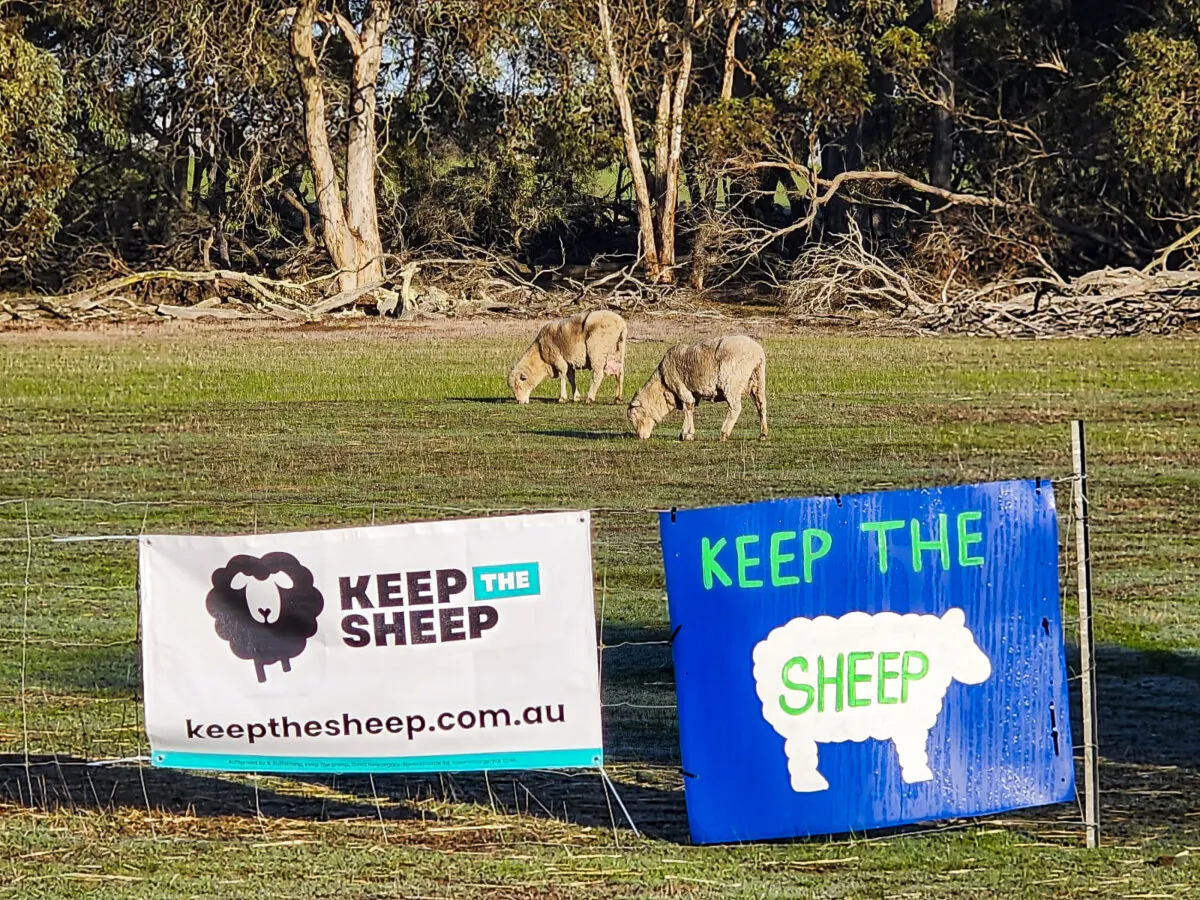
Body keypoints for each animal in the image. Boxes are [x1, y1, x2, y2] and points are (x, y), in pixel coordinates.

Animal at [626, 335, 767, 441]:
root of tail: (757, 353)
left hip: (731, 382)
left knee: (735, 408)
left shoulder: (682, 389)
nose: (641, 437)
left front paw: (687, 434)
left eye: (634, 415)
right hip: (758, 380)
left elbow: (688, 407)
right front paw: (684, 433)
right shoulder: (692, 393)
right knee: (761, 405)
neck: (662, 387)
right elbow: (690, 408)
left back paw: (724, 433)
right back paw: (763, 434)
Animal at [751, 608, 992, 792]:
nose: (986, 669)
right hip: (797, 723)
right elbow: (913, 751)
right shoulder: (909, 722)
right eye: (961, 644)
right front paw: (919, 775)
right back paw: (812, 785)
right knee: (800, 752)